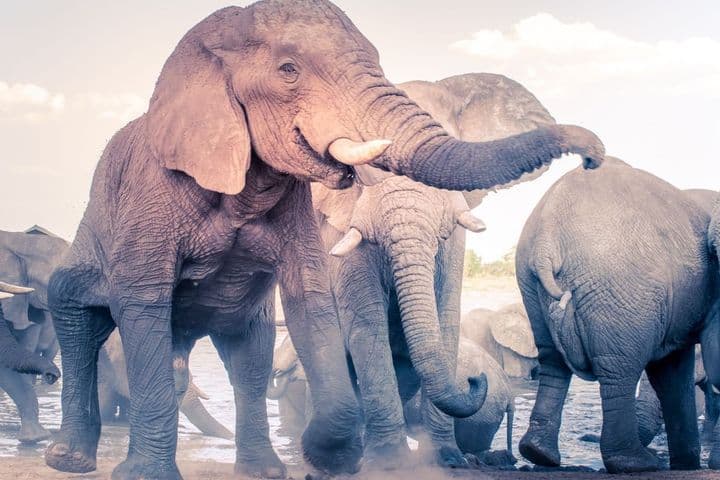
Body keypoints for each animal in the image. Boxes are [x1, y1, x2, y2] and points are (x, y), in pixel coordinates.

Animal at [516, 157, 717, 473]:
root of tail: (547, 239)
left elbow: (673, 372)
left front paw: (687, 465)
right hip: (622, 288)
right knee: (620, 368)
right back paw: (636, 463)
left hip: (529, 282)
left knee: (552, 360)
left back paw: (538, 453)